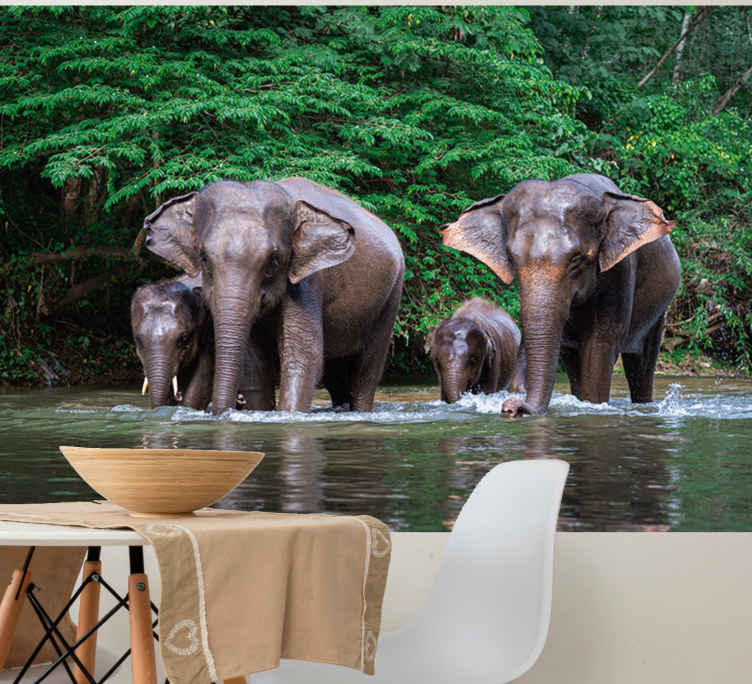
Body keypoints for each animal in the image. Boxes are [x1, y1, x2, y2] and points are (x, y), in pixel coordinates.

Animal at [142, 177, 405, 414]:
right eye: (204, 258)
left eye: (274, 261)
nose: (224, 411)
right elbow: (255, 367)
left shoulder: (307, 281)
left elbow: (303, 357)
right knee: (337, 377)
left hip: (391, 297)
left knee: (366, 373)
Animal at [441, 173, 681, 417]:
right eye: (511, 258)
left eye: (578, 258)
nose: (510, 407)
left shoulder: (619, 271)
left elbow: (601, 342)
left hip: (659, 311)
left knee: (641, 362)